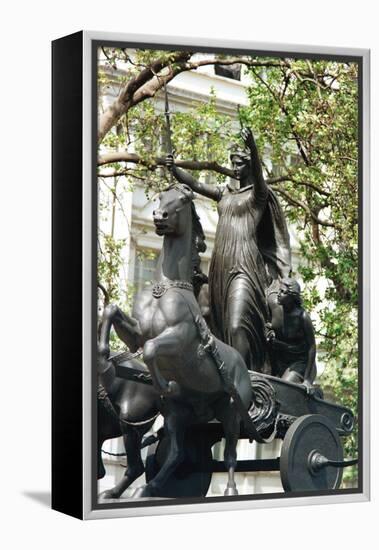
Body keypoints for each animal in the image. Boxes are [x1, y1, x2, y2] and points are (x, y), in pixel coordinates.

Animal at [100, 185, 255, 500]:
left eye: (182, 200)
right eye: (160, 197)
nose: (159, 216)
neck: (167, 289)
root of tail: (242, 366)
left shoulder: (180, 338)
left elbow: (151, 349)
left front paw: (165, 384)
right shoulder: (137, 332)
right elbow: (112, 311)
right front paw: (103, 355)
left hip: (231, 412)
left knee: (230, 454)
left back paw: (230, 489)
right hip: (179, 413)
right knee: (178, 453)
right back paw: (146, 488)